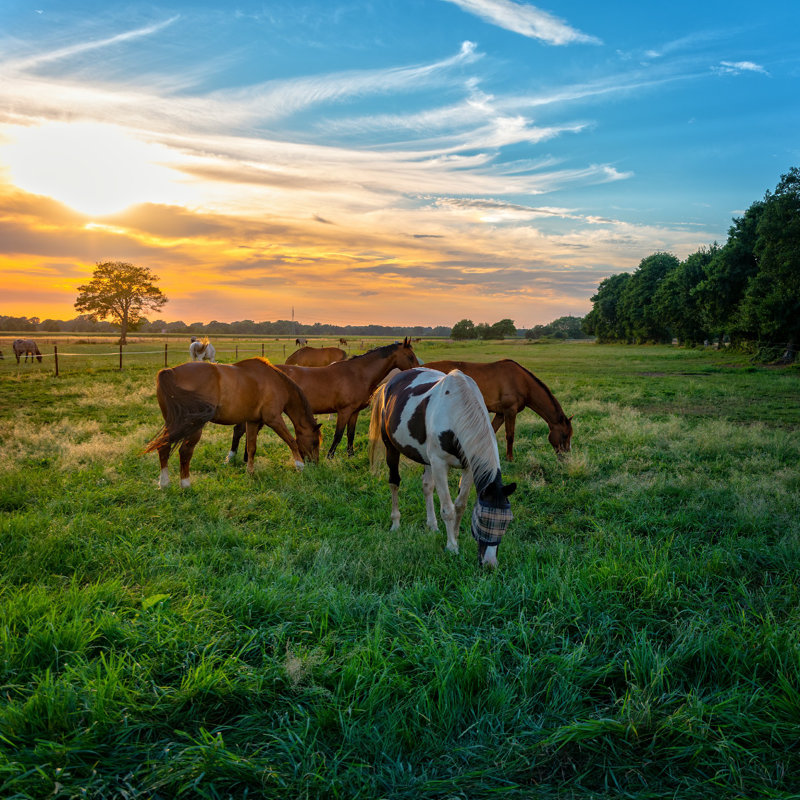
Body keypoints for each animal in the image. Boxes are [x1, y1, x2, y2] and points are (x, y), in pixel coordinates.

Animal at [143, 357, 322, 488]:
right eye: (314, 442)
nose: (315, 464)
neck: (275, 381)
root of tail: (170, 372)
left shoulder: (253, 421)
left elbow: (251, 448)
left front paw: (250, 472)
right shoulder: (274, 419)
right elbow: (291, 441)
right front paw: (299, 466)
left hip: (174, 423)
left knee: (164, 447)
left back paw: (164, 483)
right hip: (193, 427)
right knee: (185, 452)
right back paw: (185, 484)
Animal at [229, 338, 419, 460]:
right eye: (410, 356)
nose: (419, 370)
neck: (358, 374)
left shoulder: (354, 412)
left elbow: (350, 434)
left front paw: (350, 455)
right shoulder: (344, 411)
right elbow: (338, 434)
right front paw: (330, 456)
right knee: (241, 430)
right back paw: (234, 458)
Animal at [369, 367, 516, 568]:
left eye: (507, 522)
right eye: (482, 519)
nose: (490, 563)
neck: (456, 410)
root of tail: (388, 385)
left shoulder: (469, 466)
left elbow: (460, 505)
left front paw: (454, 535)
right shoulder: (439, 464)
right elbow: (448, 509)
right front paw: (452, 547)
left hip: (426, 457)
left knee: (427, 486)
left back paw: (432, 525)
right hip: (391, 448)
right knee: (394, 483)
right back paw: (396, 524)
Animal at [423, 359, 572, 460]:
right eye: (565, 435)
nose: (566, 457)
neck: (522, 382)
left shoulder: (500, 414)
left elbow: (492, 432)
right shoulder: (510, 411)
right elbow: (510, 435)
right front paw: (509, 458)